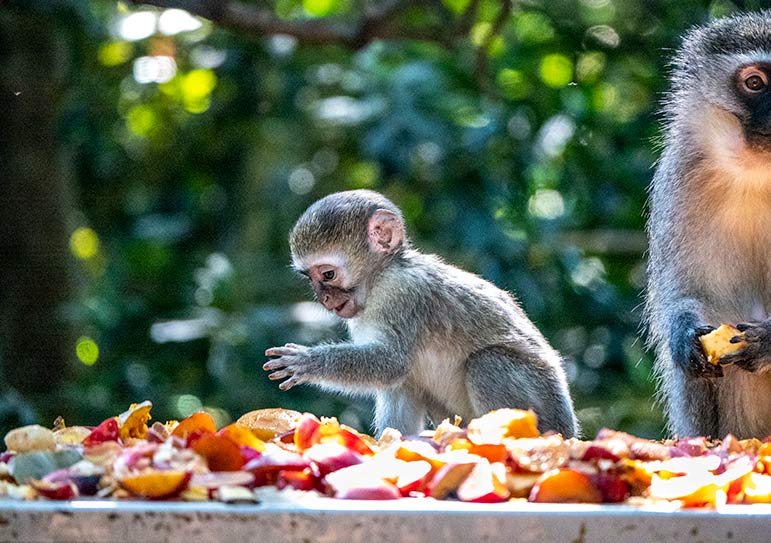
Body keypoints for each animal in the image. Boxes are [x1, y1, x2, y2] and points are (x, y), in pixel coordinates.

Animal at [266, 190, 580, 438]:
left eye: (328, 275)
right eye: (310, 278)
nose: (325, 299)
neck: (381, 277)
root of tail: (568, 430)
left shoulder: (402, 293)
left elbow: (391, 362)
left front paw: (308, 362)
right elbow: (393, 371)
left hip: (546, 408)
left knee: (486, 364)